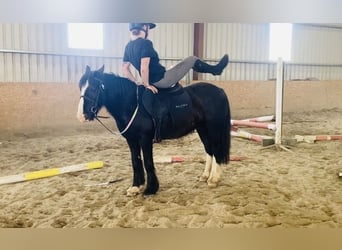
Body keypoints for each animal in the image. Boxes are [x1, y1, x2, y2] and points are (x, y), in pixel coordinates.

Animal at [77, 65, 231, 196]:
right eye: (81, 87)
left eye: (93, 88)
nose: (81, 116)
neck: (133, 104)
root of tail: (220, 91)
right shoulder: (131, 140)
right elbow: (135, 162)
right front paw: (135, 187)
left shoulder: (145, 138)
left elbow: (148, 163)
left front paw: (150, 189)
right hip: (202, 129)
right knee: (209, 150)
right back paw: (205, 176)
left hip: (213, 128)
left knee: (216, 150)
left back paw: (213, 179)